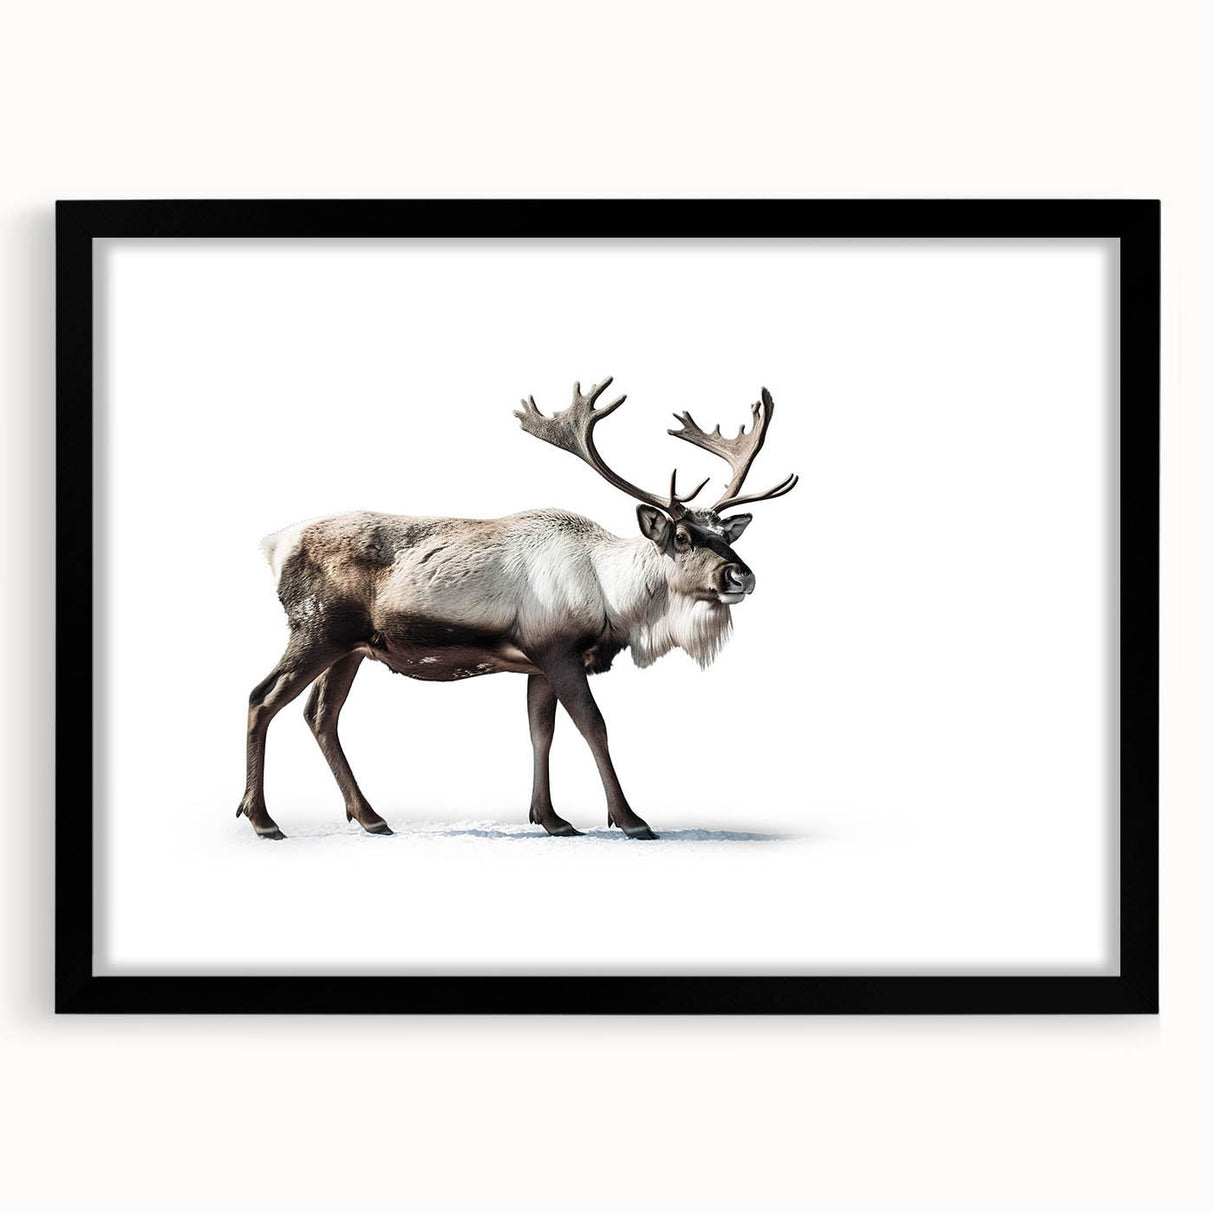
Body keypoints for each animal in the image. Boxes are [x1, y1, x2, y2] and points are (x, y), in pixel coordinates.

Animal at [237, 378, 797, 840]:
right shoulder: (559, 651)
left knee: (321, 714)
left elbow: (539, 732)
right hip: (317, 629)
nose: (741, 576)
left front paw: (552, 819)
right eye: (681, 536)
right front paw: (631, 820)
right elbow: (594, 726)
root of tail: (274, 545)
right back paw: (264, 821)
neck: (612, 598)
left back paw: (371, 817)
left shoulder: (537, 664)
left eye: (727, 535)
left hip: (352, 648)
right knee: (263, 698)